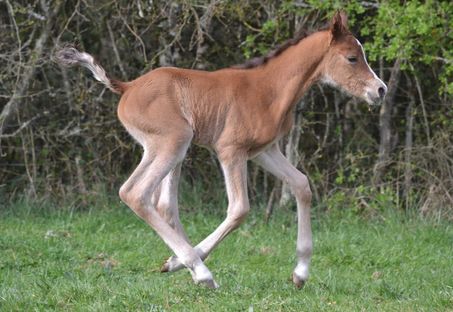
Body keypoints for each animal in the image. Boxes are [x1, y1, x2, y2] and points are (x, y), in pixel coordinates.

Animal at [57, 12, 384, 290]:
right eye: (352, 58)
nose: (380, 90)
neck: (269, 89)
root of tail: (127, 87)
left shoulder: (264, 150)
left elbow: (302, 185)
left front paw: (300, 273)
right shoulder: (230, 150)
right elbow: (239, 209)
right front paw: (188, 264)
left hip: (168, 150)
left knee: (163, 203)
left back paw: (184, 262)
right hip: (172, 142)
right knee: (134, 193)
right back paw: (200, 271)